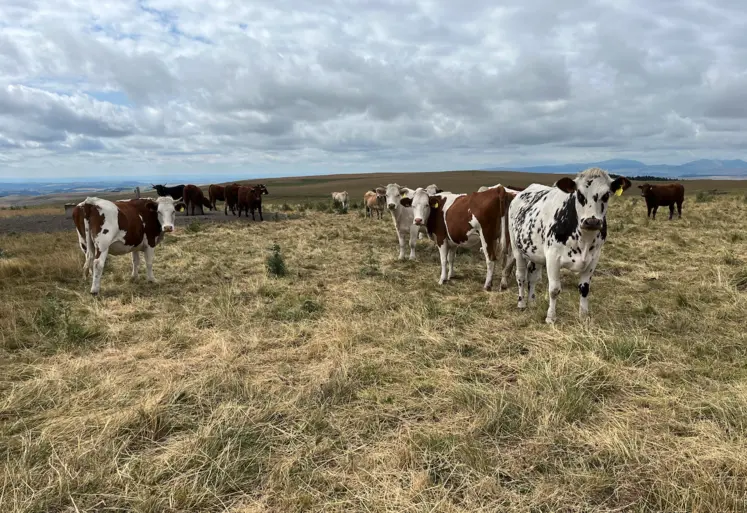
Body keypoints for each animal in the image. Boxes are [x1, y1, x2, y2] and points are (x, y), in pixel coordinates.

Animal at [508, 167, 632, 324]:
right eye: (579, 194)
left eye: (606, 195)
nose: (592, 221)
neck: (584, 240)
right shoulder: (553, 258)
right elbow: (554, 289)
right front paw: (551, 317)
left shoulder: (593, 259)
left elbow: (584, 289)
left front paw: (583, 316)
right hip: (516, 248)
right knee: (521, 276)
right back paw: (522, 303)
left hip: (535, 253)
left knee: (532, 276)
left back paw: (532, 302)